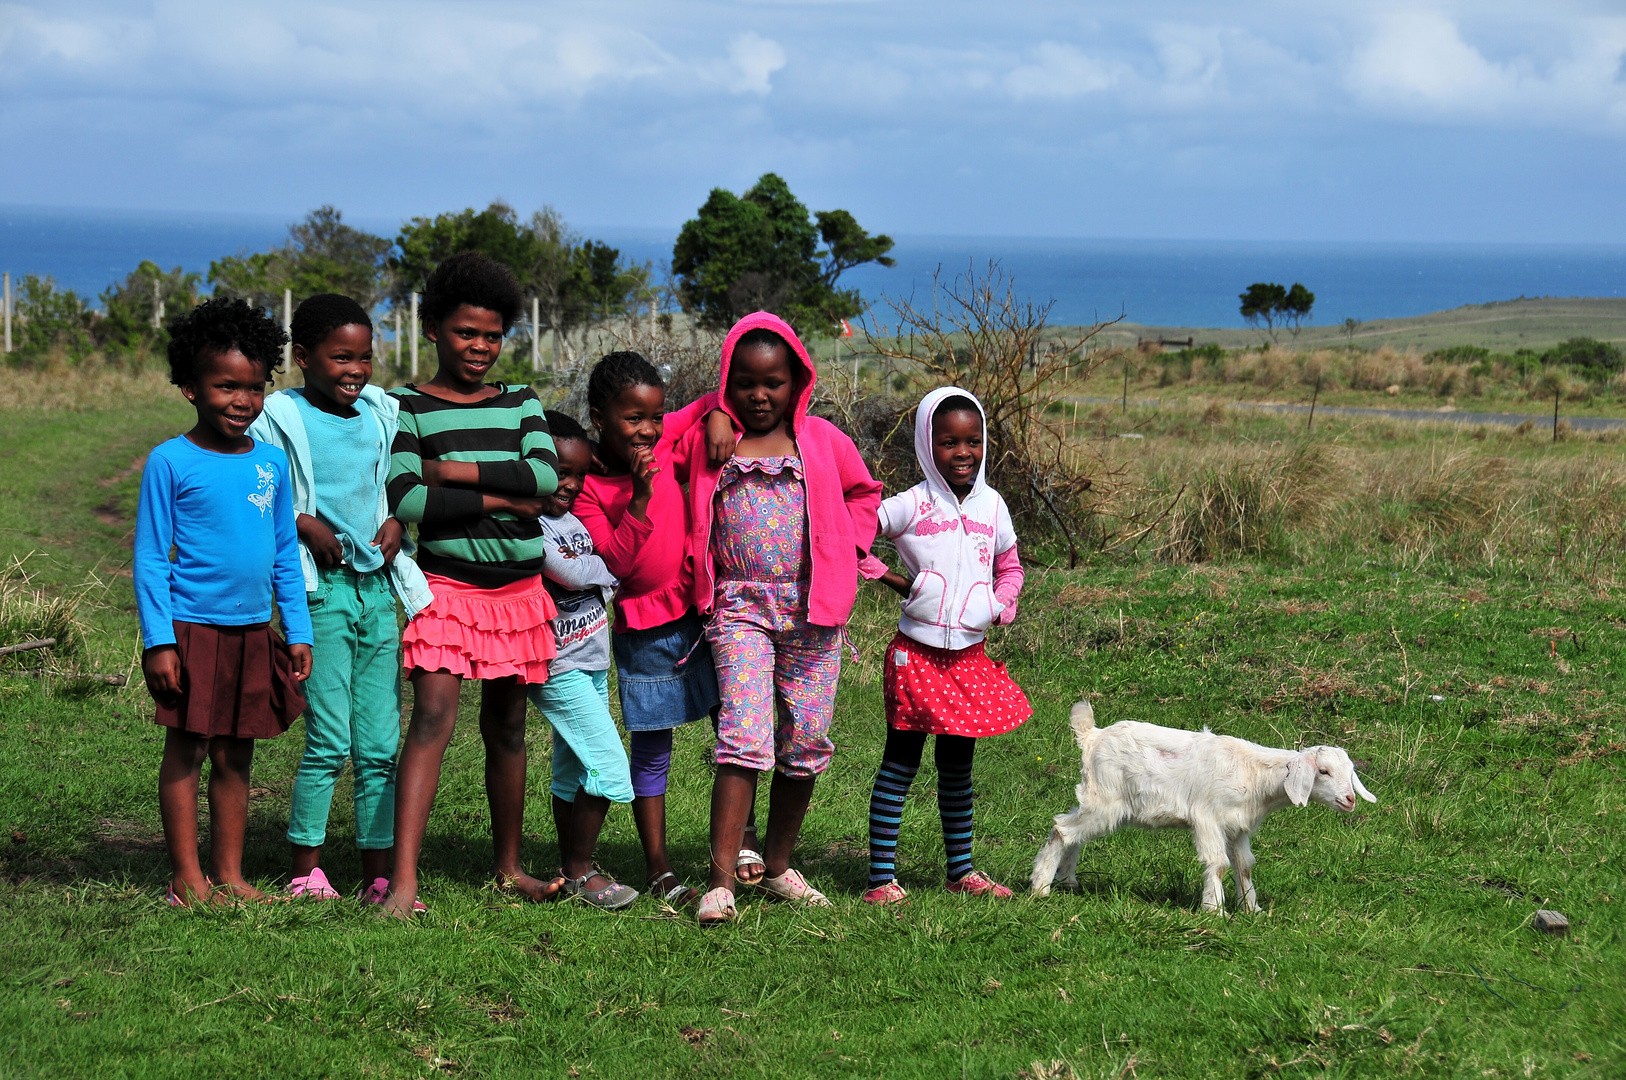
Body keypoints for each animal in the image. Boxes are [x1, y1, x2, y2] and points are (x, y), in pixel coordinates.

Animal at [1027, 699, 1372, 910]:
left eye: (1350, 772)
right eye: (1323, 771)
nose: (1350, 799)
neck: (1254, 774)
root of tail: (1091, 736)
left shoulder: (1238, 826)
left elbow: (1244, 864)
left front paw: (1252, 908)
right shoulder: (1207, 817)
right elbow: (1217, 862)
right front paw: (1214, 909)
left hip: (1100, 799)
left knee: (1071, 829)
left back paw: (1068, 880)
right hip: (1106, 801)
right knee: (1062, 829)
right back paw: (1040, 887)